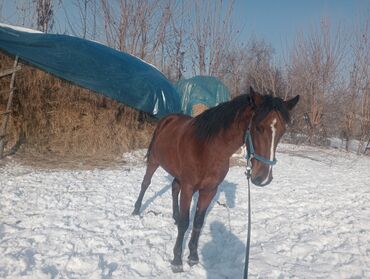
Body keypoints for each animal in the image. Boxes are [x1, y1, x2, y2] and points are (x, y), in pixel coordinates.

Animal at [132, 87, 298, 272]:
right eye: (258, 127)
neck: (208, 149)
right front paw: (176, 260)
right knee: (146, 184)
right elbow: (185, 223)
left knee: (174, 188)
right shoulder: (189, 188)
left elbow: (198, 222)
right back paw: (136, 210)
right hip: (154, 161)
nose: (263, 178)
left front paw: (193, 256)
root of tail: (167, 120)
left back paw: (174, 215)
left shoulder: (209, 190)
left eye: (282, 131)